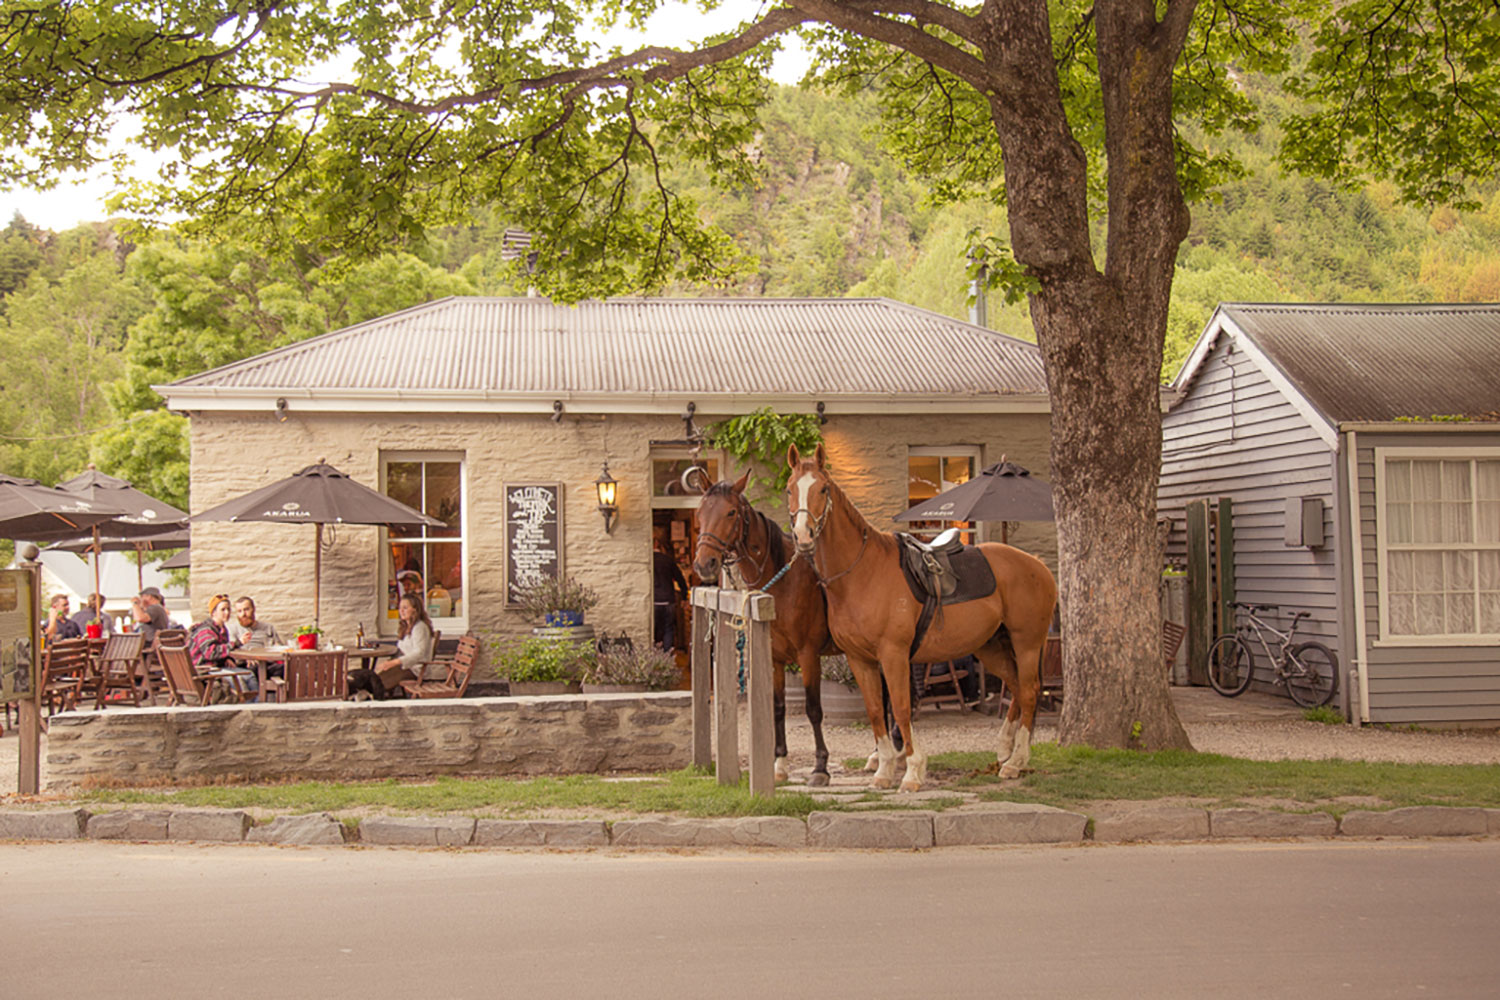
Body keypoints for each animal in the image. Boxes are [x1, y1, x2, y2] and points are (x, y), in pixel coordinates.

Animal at [693, 473, 846, 785]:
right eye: (700, 512)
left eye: (731, 512)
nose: (704, 564)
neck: (783, 581)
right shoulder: (774, 658)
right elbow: (777, 708)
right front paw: (779, 764)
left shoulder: (808, 656)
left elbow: (813, 709)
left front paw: (820, 767)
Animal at [786, 446, 1056, 791]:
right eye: (789, 489)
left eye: (822, 489)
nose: (803, 536)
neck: (862, 573)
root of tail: (1037, 565)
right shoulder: (861, 660)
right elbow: (876, 711)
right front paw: (884, 770)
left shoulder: (894, 655)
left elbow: (901, 709)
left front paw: (912, 771)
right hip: (991, 647)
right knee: (1017, 687)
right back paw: (1004, 752)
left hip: (1027, 643)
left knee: (1031, 691)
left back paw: (1016, 762)